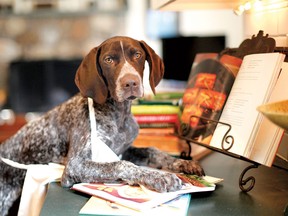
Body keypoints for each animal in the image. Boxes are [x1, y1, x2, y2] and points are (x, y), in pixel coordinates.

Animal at [0, 36, 204, 215]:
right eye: (108, 60)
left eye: (137, 55)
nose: (130, 82)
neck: (119, 115)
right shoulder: (76, 165)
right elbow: (123, 165)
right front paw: (160, 177)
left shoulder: (123, 149)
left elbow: (153, 151)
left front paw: (183, 163)